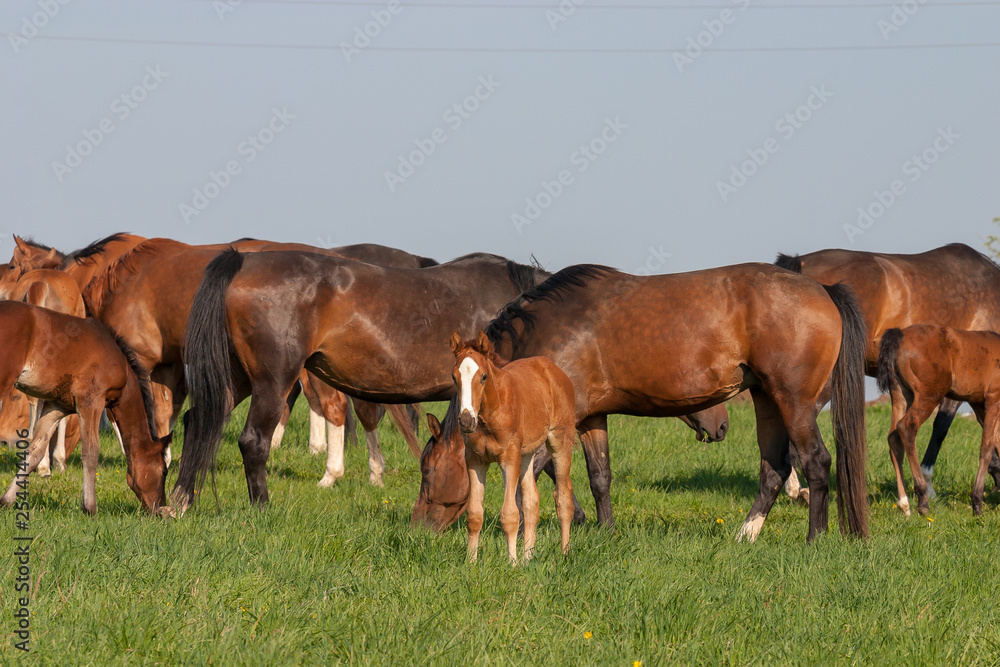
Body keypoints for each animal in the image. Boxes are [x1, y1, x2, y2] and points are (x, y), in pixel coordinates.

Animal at [0, 302, 170, 515]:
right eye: (163, 471)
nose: (161, 508)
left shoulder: (56, 406)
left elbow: (35, 452)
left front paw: (7, 500)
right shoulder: (91, 402)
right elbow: (90, 452)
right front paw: (89, 507)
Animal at [171, 248, 730, 513]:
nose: (723, 423)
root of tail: (243, 260)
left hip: (237, 379)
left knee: (199, 423)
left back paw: (178, 502)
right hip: (274, 379)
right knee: (251, 441)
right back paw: (260, 507)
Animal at [452, 332, 576, 563]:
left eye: (483, 376)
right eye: (454, 377)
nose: (466, 420)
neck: (491, 413)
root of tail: (552, 368)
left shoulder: (509, 459)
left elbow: (509, 514)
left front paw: (512, 563)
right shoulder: (475, 460)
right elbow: (474, 514)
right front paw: (471, 562)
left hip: (560, 441)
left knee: (563, 496)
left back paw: (564, 553)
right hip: (526, 454)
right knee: (531, 501)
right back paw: (528, 557)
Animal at [877, 326, 1000, 516]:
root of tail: (900, 335)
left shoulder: (979, 405)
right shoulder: (993, 400)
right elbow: (986, 448)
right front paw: (977, 504)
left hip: (901, 395)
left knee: (893, 437)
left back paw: (905, 504)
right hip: (929, 395)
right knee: (906, 428)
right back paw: (922, 500)